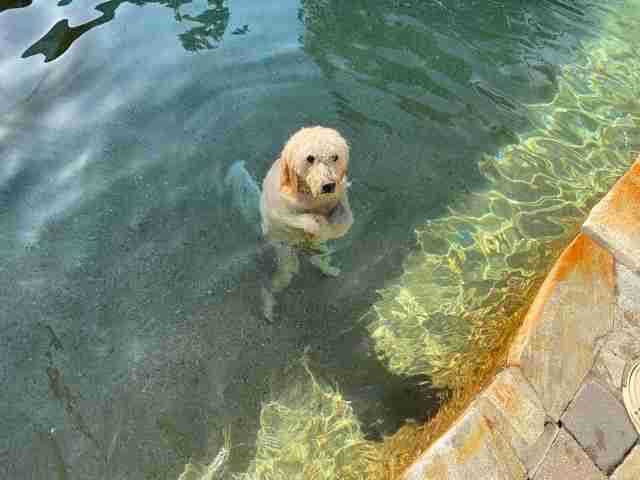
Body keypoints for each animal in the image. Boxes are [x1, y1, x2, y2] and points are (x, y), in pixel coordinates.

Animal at [258, 126, 352, 322]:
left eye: (335, 156)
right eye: (310, 158)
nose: (328, 185)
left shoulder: (339, 194)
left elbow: (345, 216)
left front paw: (334, 226)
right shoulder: (280, 203)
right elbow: (294, 217)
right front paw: (319, 224)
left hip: (319, 250)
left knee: (320, 257)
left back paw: (329, 269)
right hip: (284, 250)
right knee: (284, 275)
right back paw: (268, 307)